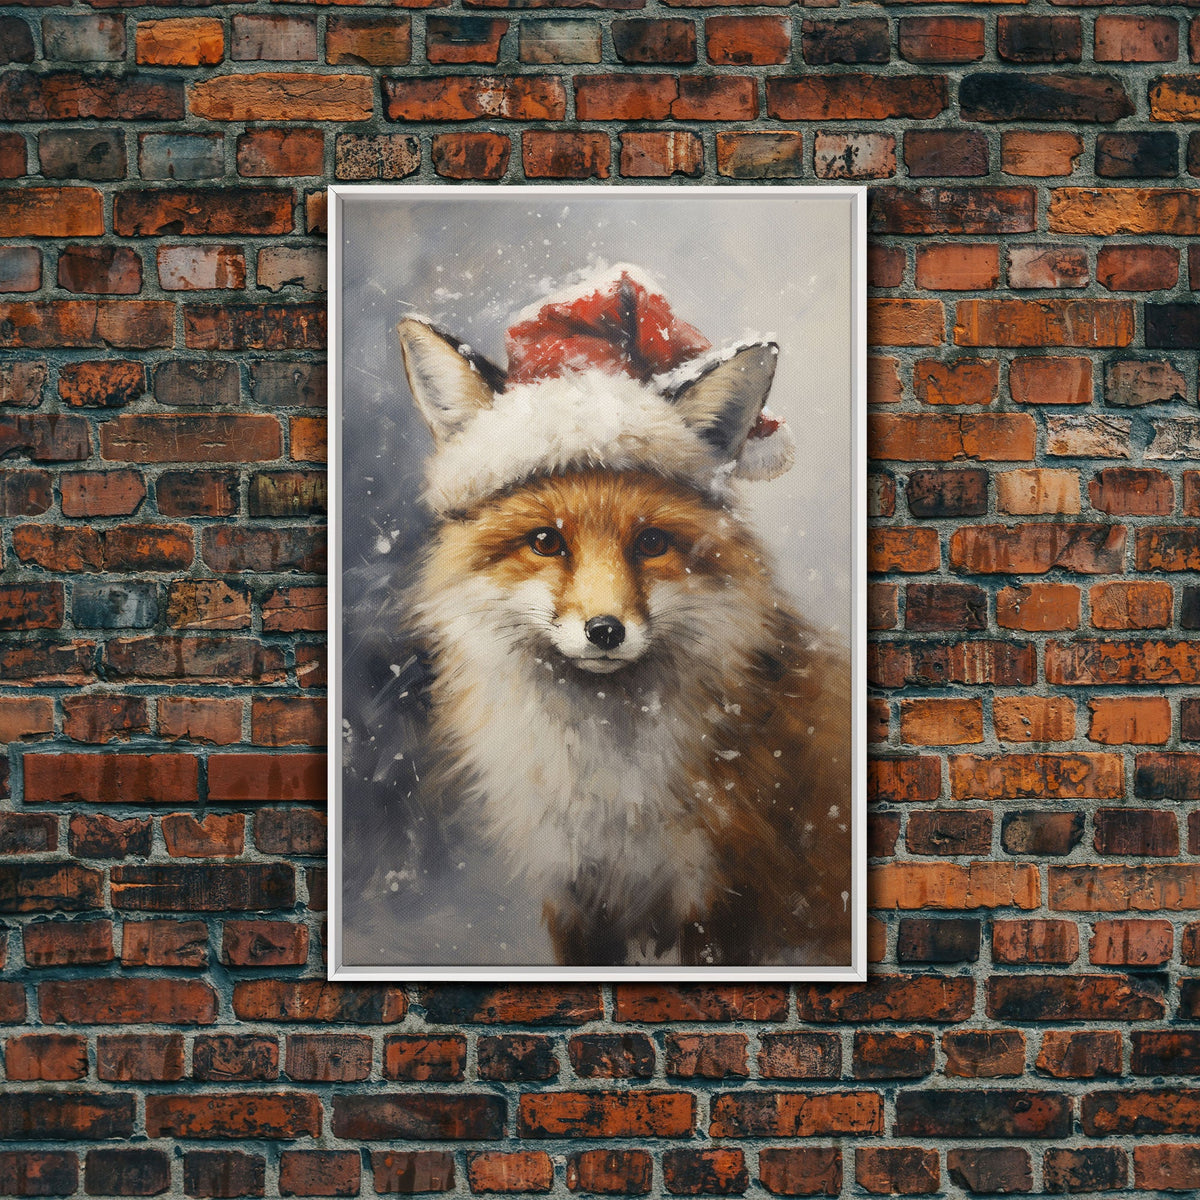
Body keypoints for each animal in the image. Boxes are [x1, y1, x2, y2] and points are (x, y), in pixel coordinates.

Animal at [394, 273, 852, 967]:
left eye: (652, 543)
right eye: (546, 541)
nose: (605, 631)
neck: (606, 791)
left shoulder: (717, 897)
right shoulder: (575, 895)